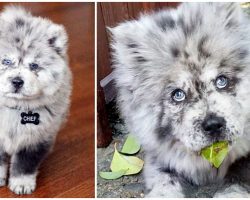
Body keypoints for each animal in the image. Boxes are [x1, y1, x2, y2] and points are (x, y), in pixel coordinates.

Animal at [0, 6, 72, 195]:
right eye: (6, 61)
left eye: (33, 66)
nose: (17, 81)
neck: (16, 108)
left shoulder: (36, 138)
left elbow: (25, 164)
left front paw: (21, 183)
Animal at [111, 2, 250, 198]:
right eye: (178, 94)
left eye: (221, 81)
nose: (213, 124)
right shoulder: (160, 157)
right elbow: (164, 181)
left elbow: (237, 178)